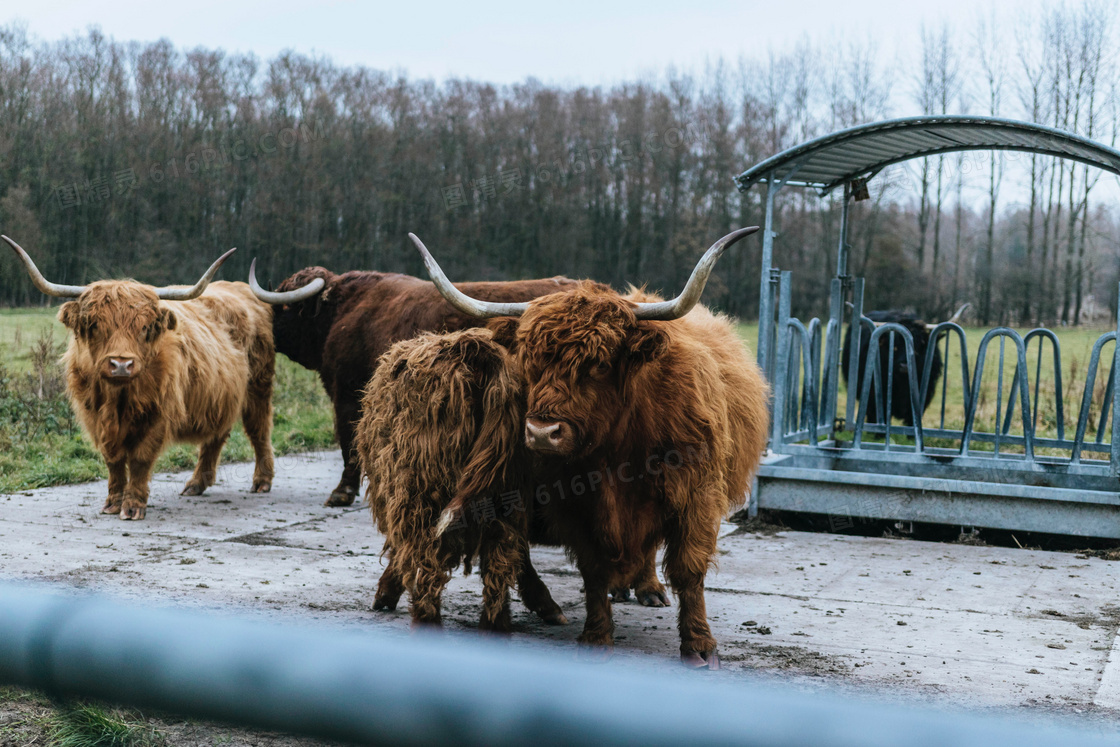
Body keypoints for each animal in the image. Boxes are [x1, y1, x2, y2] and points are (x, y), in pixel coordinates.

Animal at [7, 235, 275, 519]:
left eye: (145, 328)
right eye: (95, 325)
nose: (121, 364)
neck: (117, 400)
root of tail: (242, 289)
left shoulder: (158, 415)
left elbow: (140, 459)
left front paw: (133, 506)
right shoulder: (94, 416)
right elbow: (113, 461)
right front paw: (113, 503)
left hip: (259, 385)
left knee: (259, 428)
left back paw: (262, 481)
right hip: (221, 395)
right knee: (217, 434)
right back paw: (196, 484)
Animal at [412, 229, 770, 671]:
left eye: (598, 363)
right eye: (530, 361)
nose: (542, 432)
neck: (618, 452)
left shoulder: (695, 496)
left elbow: (689, 570)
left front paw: (700, 645)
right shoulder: (578, 505)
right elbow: (594, 571)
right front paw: (597, 636)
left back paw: (648, 589)